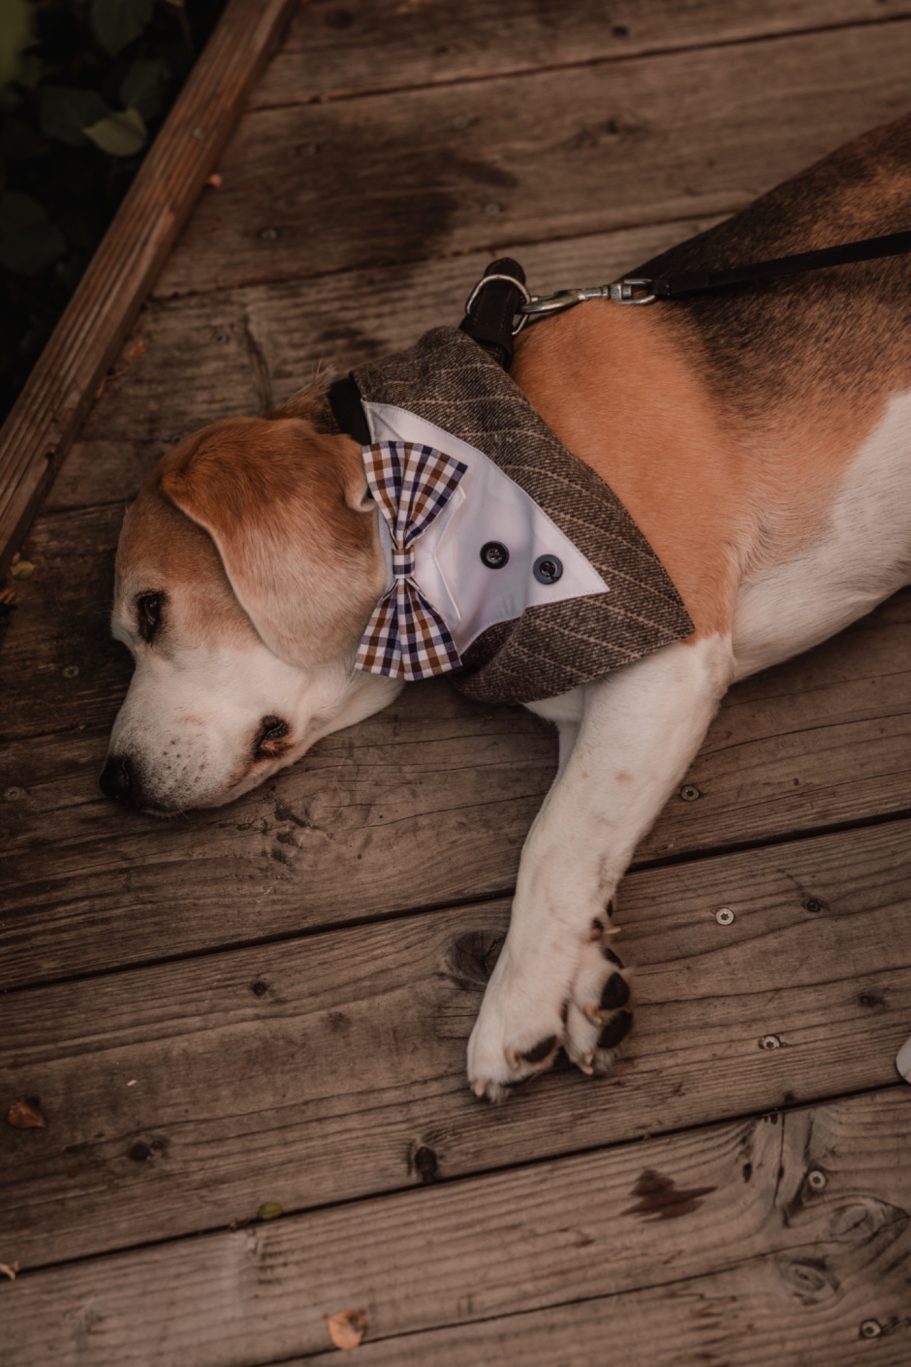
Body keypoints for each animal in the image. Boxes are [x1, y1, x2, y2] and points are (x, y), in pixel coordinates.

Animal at [102, 116, 911, 1101]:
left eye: (150, 611)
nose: (113, 783)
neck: (454, 475)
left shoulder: (670, 648)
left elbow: (550, 841)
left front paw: (514, 1010)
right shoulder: (599, 702)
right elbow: (587, 835)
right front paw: (584, 981)